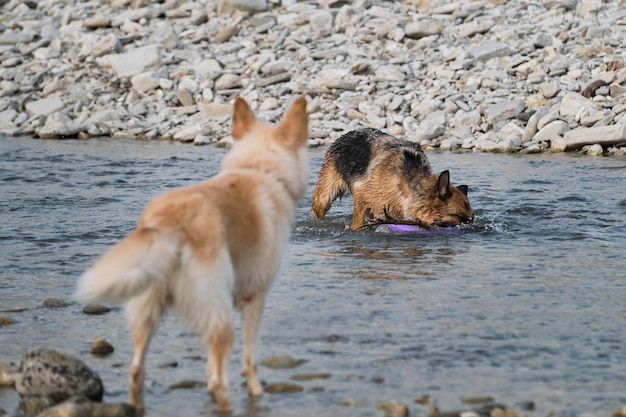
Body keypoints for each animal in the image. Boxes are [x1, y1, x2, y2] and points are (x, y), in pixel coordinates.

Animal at [74, 96, 308, 412]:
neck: (259, 169)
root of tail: (172, 222)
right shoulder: (254, 298)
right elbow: (249, 362)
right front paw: (257, 393)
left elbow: (210, 364)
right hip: (217, 310)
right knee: (219, 381)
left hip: (149, 309)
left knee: (136, 372)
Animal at [312, 127, 472, 229]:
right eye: (459, 217)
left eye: (472, 218)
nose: (472, 226)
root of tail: (348, 133)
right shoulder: (361, 201)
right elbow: (357, 225)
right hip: (323, 199)